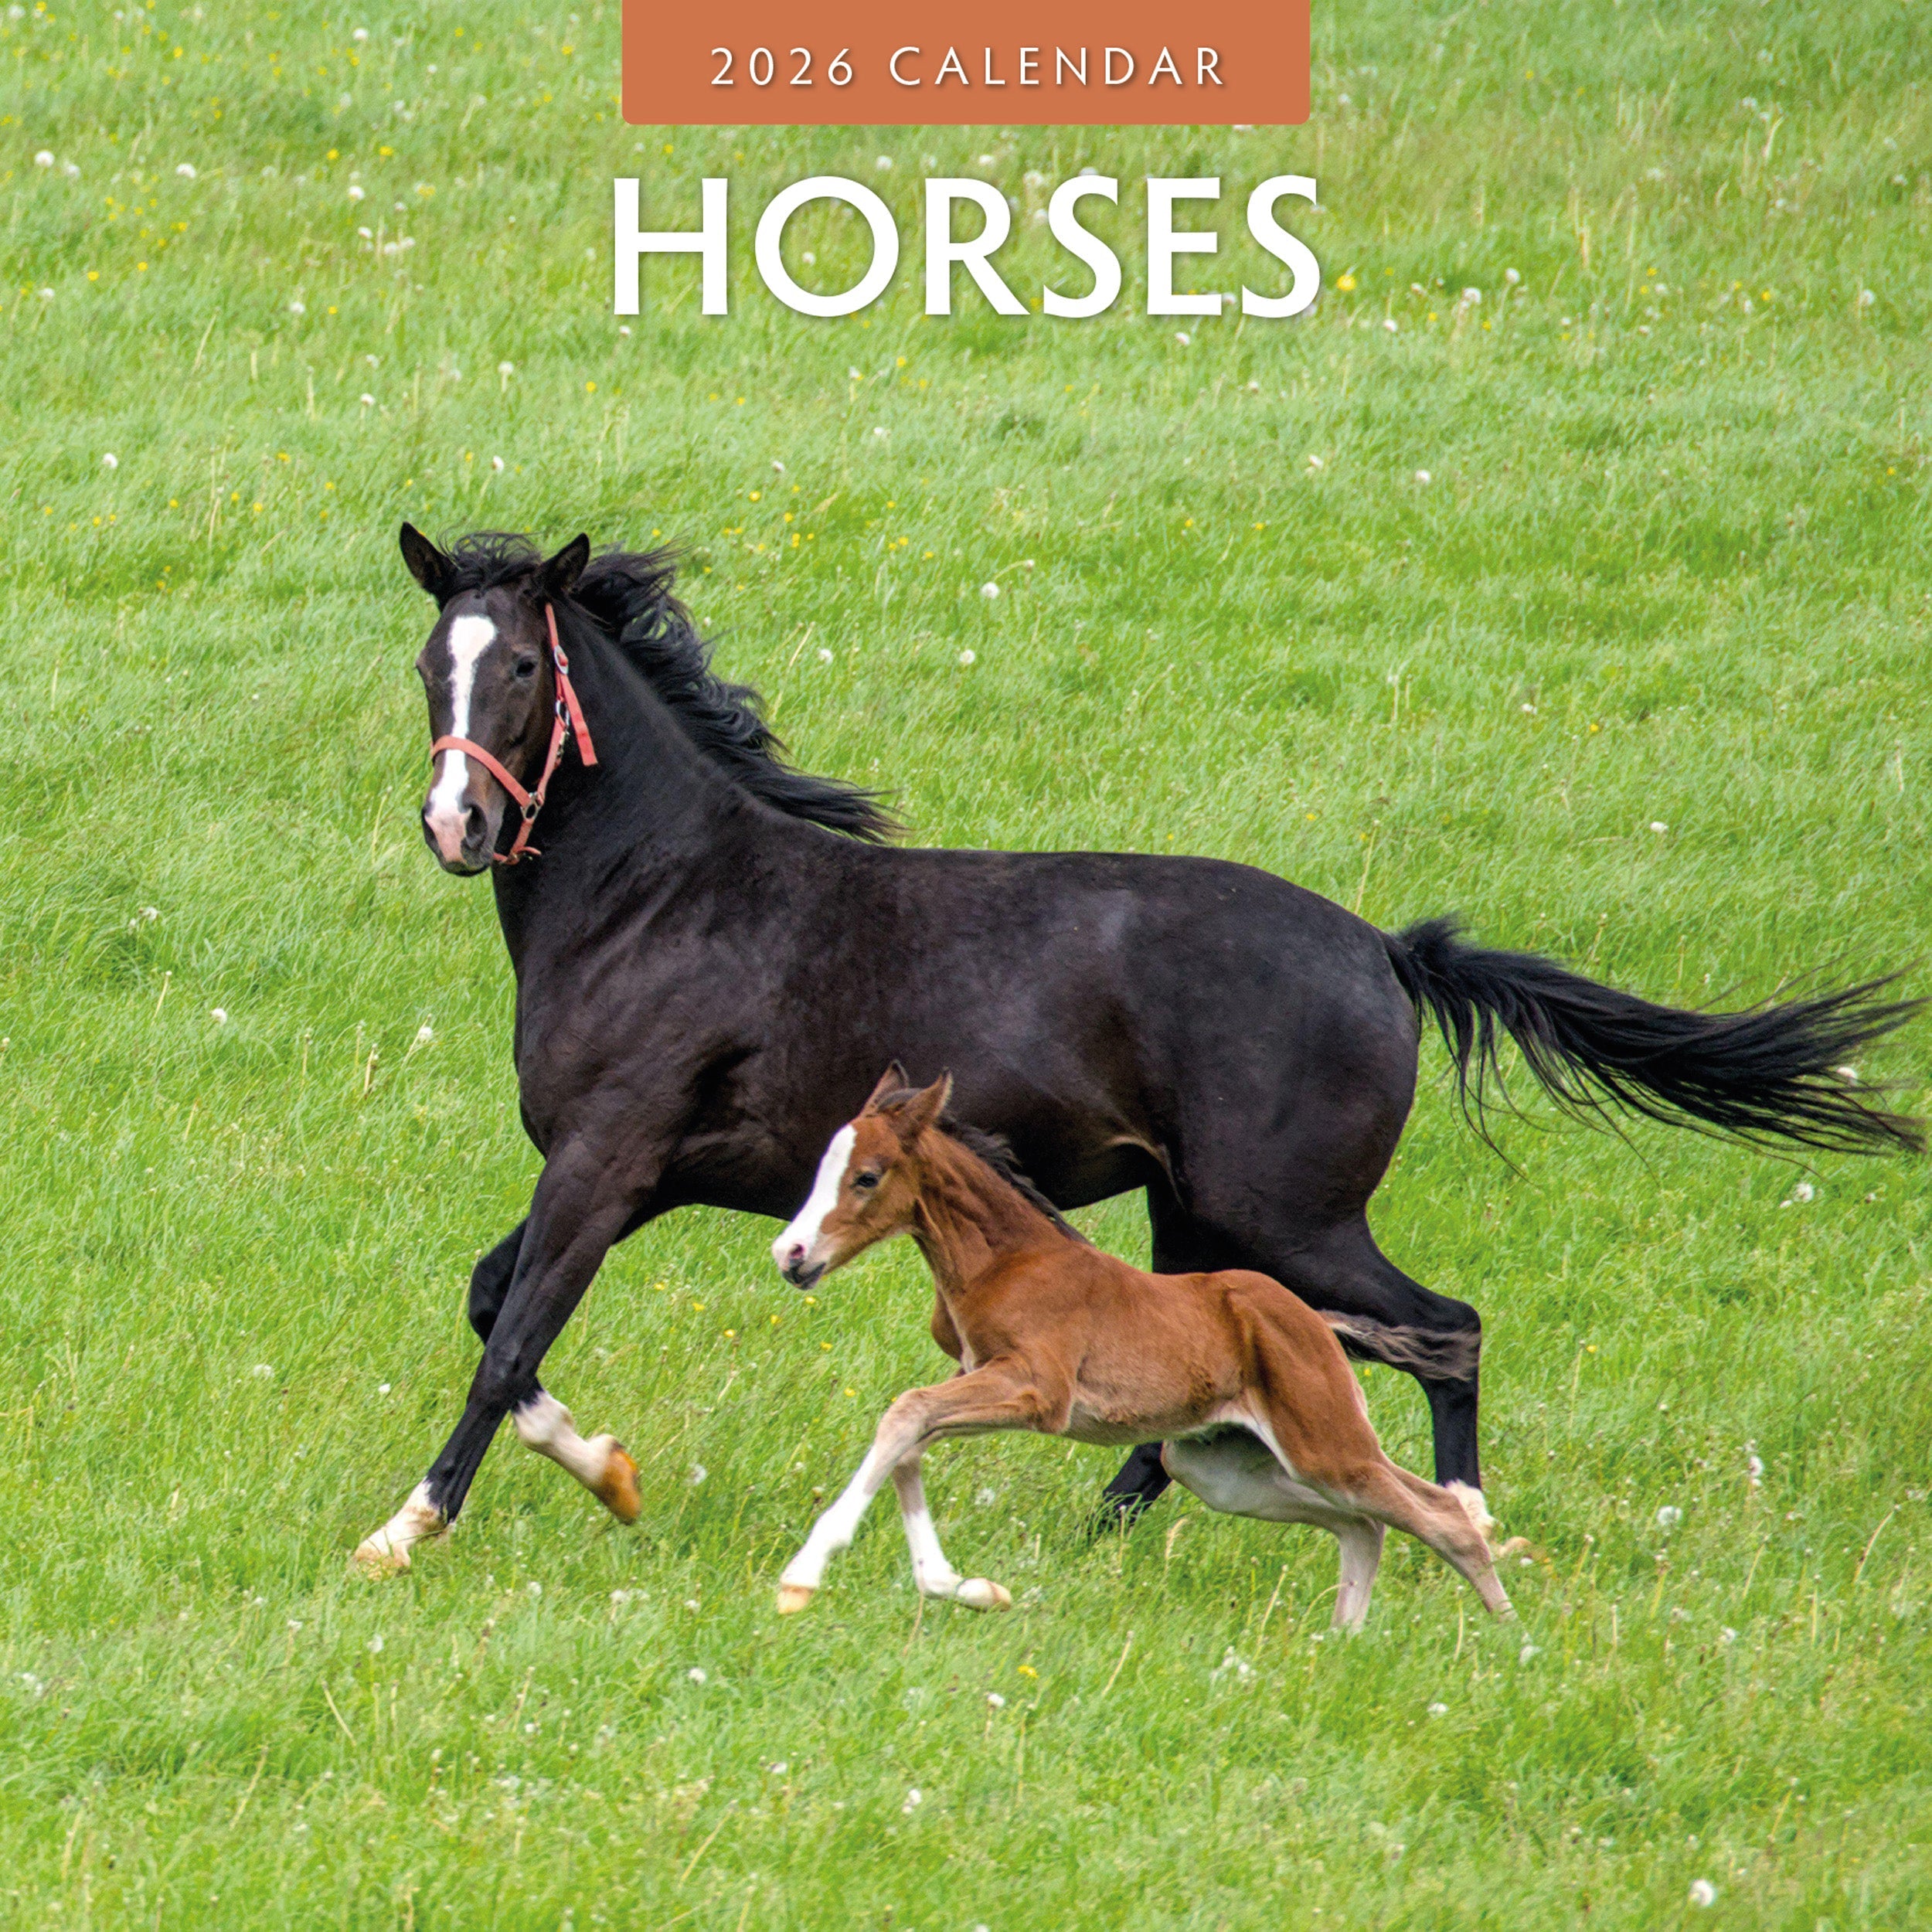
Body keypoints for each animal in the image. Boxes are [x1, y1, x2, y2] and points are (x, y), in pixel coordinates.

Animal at [353, 524, 1921, 1572]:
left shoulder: (609, 1161)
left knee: (1447, 1330)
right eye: (433, 663)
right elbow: (494, 1309)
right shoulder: (636, 1171)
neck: (665, 895)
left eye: (523, 669)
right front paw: (610, 1473)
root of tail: (1386, 953)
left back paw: (1453, 1516)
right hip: (1200, 1209)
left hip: (1286, 1213)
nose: (456, 825)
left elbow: (508, 1341)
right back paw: (1113, 1520)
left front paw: (409, 1526)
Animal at [769, 1067, 1517, 1629]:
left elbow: (906, 1413)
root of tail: (1316, 1323)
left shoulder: (1039, 1390)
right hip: (1219, 1467)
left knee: (1441, 1515)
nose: (791, 1254)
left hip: (1325, 1444)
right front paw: (960, 1586)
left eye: (867, 1176)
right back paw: (1341, 1643)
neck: (1005, 1261)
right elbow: (911, 1439)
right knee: (1365, 1525)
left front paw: (805, 1573)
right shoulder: (982, 1379)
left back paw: (1511, 1645)